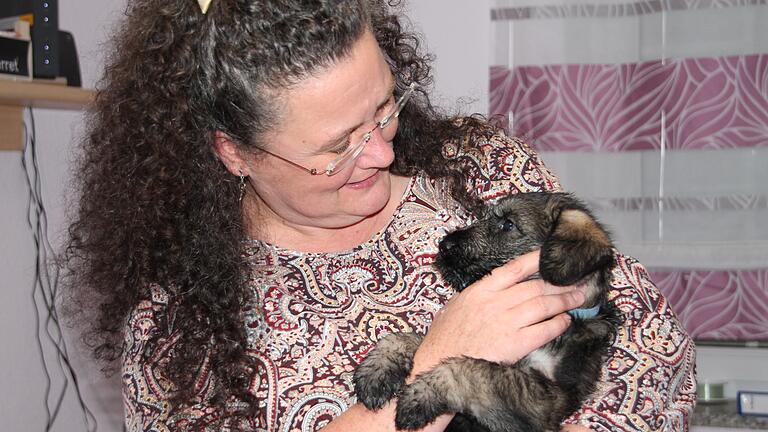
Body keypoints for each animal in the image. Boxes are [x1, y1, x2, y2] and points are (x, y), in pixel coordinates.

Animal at [356, 192, 620, 432]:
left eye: (508, 224)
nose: (444, 245)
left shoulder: (545, 399)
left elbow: (474, 369)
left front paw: (419, 395)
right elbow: (411, 337)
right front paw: (376, 371)